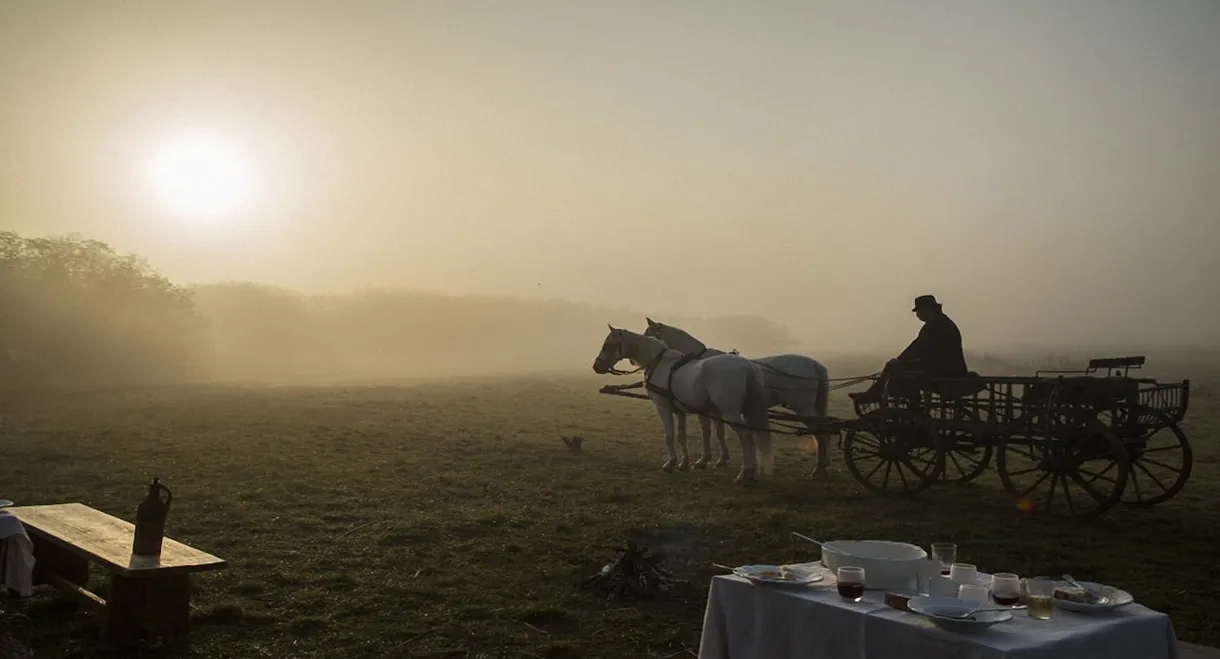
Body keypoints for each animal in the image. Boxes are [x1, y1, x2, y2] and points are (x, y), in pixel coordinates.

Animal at [590, 324, 771, 483]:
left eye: (608, 344)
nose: (596, 366)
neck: (659, 363)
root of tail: (747, 366)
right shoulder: (680, 411)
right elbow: (681, 436)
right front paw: (684, 463)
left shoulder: (663, 407)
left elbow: (669, 436)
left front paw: (670, 463)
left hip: (730, 413)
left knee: (746, 436)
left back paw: (744, 473)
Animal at [639, 317, 839, 475]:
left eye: (649, 333)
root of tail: (814, 364)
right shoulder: (713, 410)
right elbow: (718, 433)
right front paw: (719, 459)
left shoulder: (706, 410)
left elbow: (708, 433)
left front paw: (704, 460)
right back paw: (823, 464)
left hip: (803, 407)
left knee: (820, 432)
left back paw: (819, 467)